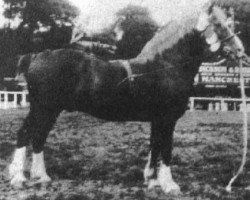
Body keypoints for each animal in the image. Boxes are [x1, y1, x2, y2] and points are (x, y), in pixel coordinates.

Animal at [9, 4, 244, 194]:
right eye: (219, 25)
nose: (240, 51)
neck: (165, 67)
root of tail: (37, 55)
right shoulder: (167, 119)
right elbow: (166, 149)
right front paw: (170, 185)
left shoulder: (157, 120)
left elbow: (154, 146)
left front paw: (152, 181)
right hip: (43, 108)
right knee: (26, 134)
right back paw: (19, 178)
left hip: (50, 110)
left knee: (38, 137)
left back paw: (41, 177)